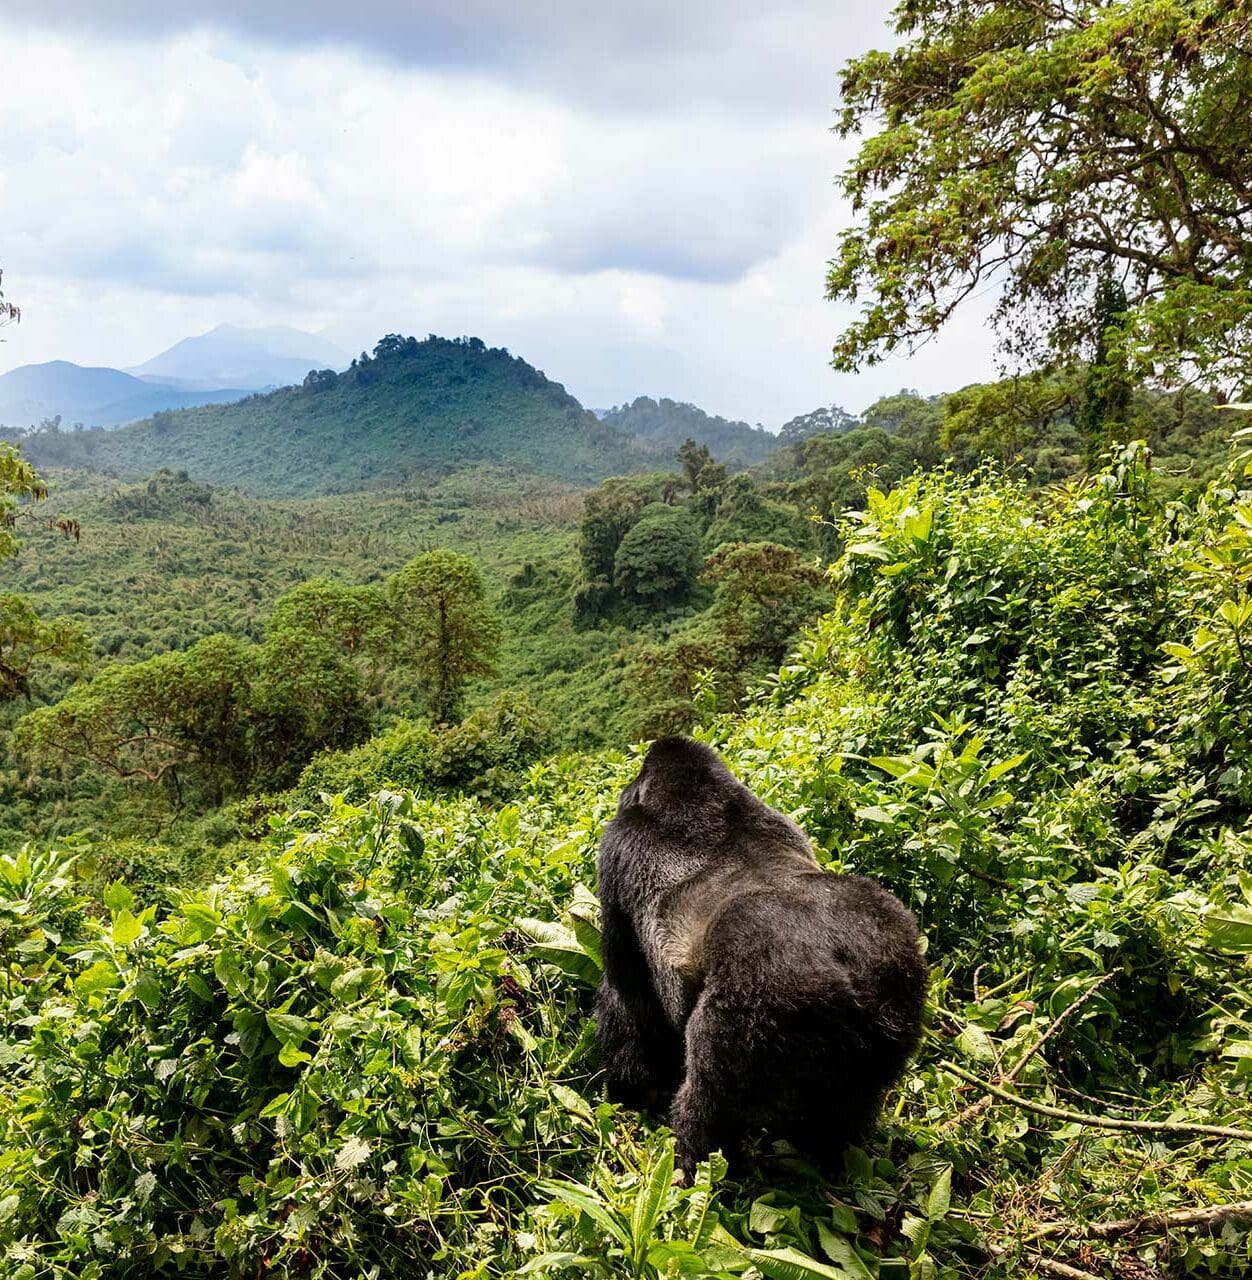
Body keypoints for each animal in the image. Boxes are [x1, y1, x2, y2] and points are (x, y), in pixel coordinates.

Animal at [591, 737, 921, 1172]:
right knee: (847, 1110)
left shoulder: (616, 848)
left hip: (757, 1004)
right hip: (898, 982)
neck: (699, 798)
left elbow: (627, 995)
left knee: (708, 1104)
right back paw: (831, 1157)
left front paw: (633, 1092)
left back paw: (692, 1165)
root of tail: (847, 974)